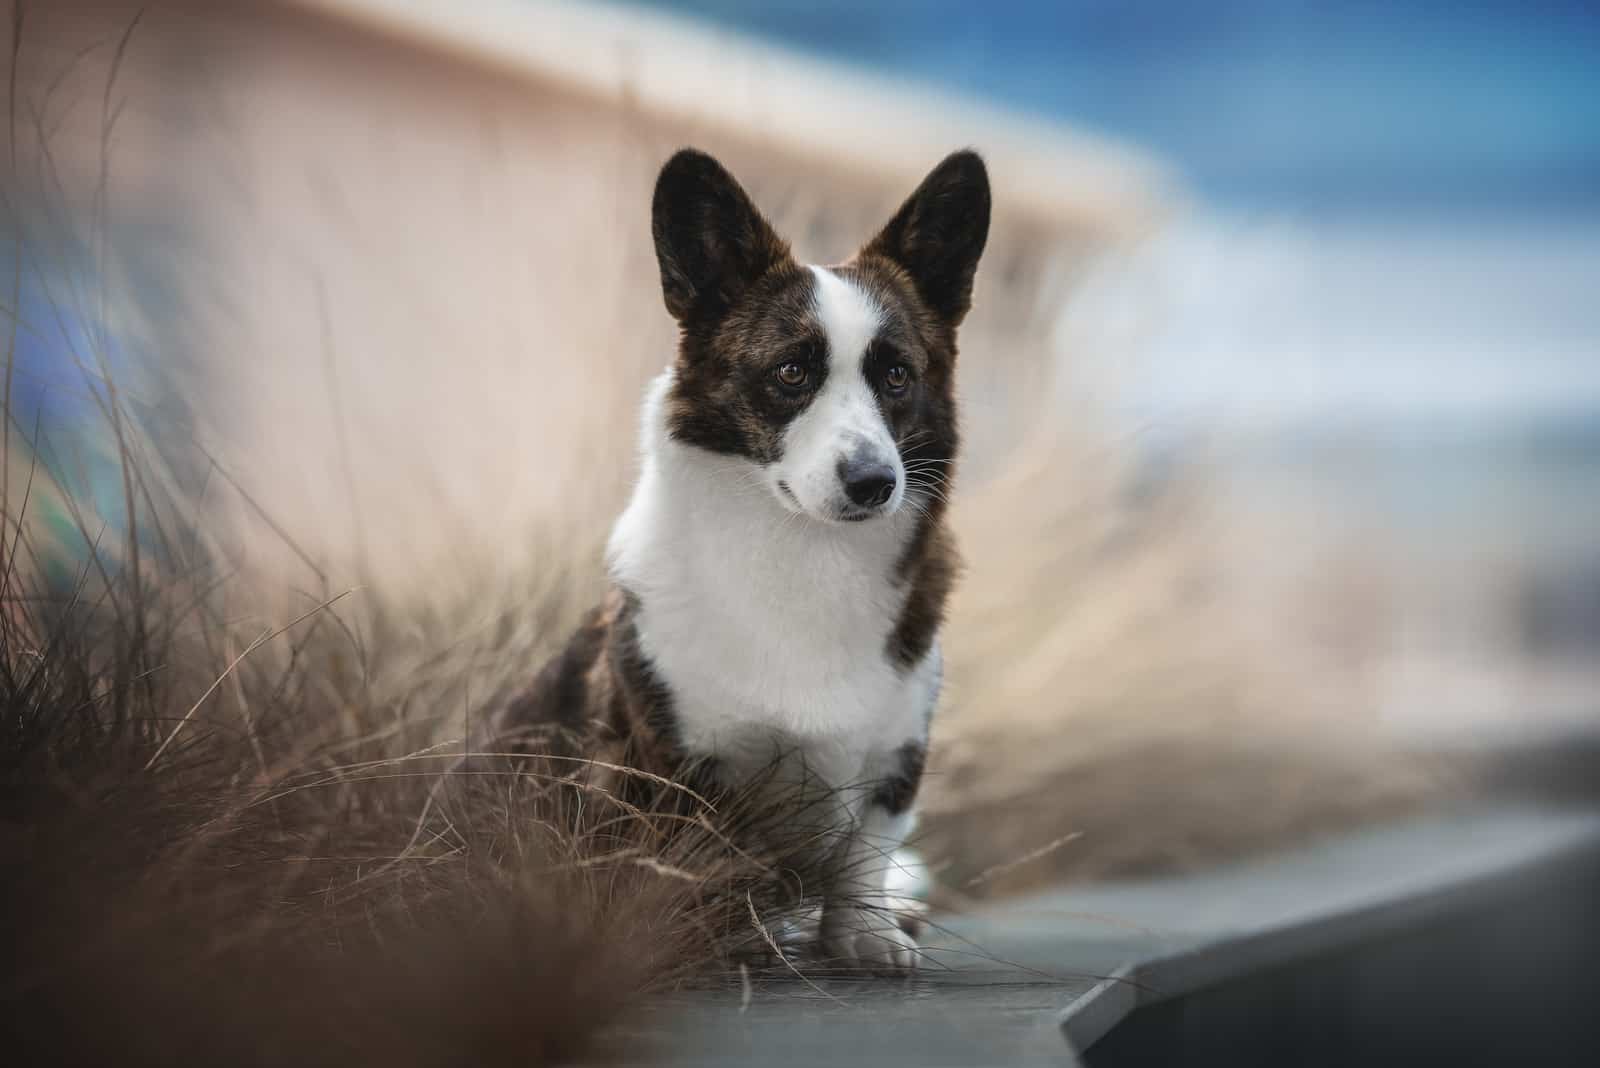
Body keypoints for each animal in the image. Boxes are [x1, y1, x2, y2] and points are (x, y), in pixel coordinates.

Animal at [483, 146, 985, 972]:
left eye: (896, 376)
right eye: (791, 373)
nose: (875, 483)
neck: (804, 550)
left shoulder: (896, 756)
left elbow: (867, 850)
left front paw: (866, 935)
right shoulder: (671, 762)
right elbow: (688, 860)